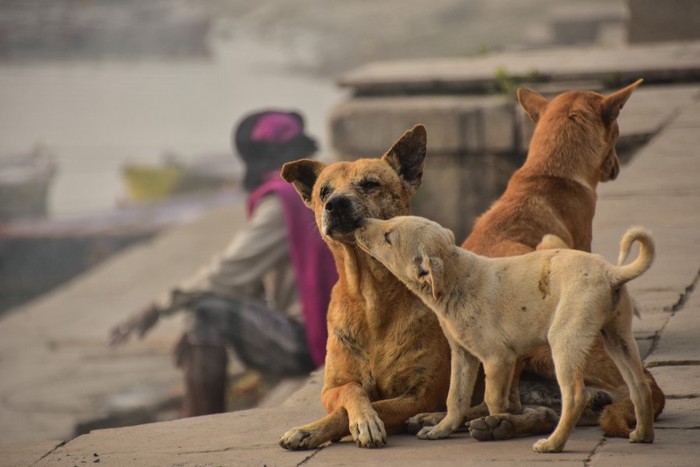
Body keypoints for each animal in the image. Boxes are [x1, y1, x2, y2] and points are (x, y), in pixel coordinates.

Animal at [276, 125, 452, 450]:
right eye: (324, 192)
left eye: (370, 184)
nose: (336, 203)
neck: (370, 296)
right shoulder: (331, 389)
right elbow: (352, 391)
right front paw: (311, 429)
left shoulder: (421, 394)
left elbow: (378, 406)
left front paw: (365, 422)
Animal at [356, 216, 656, 454]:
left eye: (388, 237)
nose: (358, 222)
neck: (456, 279)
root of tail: (611, 271)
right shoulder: (463, 356)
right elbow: (456, 397)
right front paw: (442, 429)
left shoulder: (498, 358)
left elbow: (493, 400)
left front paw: (498, 424)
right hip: (617, 338)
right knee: (639, 387)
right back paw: (643, 435)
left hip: (564, 340)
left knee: (575, 397)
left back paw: (552, 444)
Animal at [408, 78, 664, 440]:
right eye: (616, 131)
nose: (615, 168)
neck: (547, 171)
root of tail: (652, 379)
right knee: (519, 404)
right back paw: (490, 423)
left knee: (541, 406)